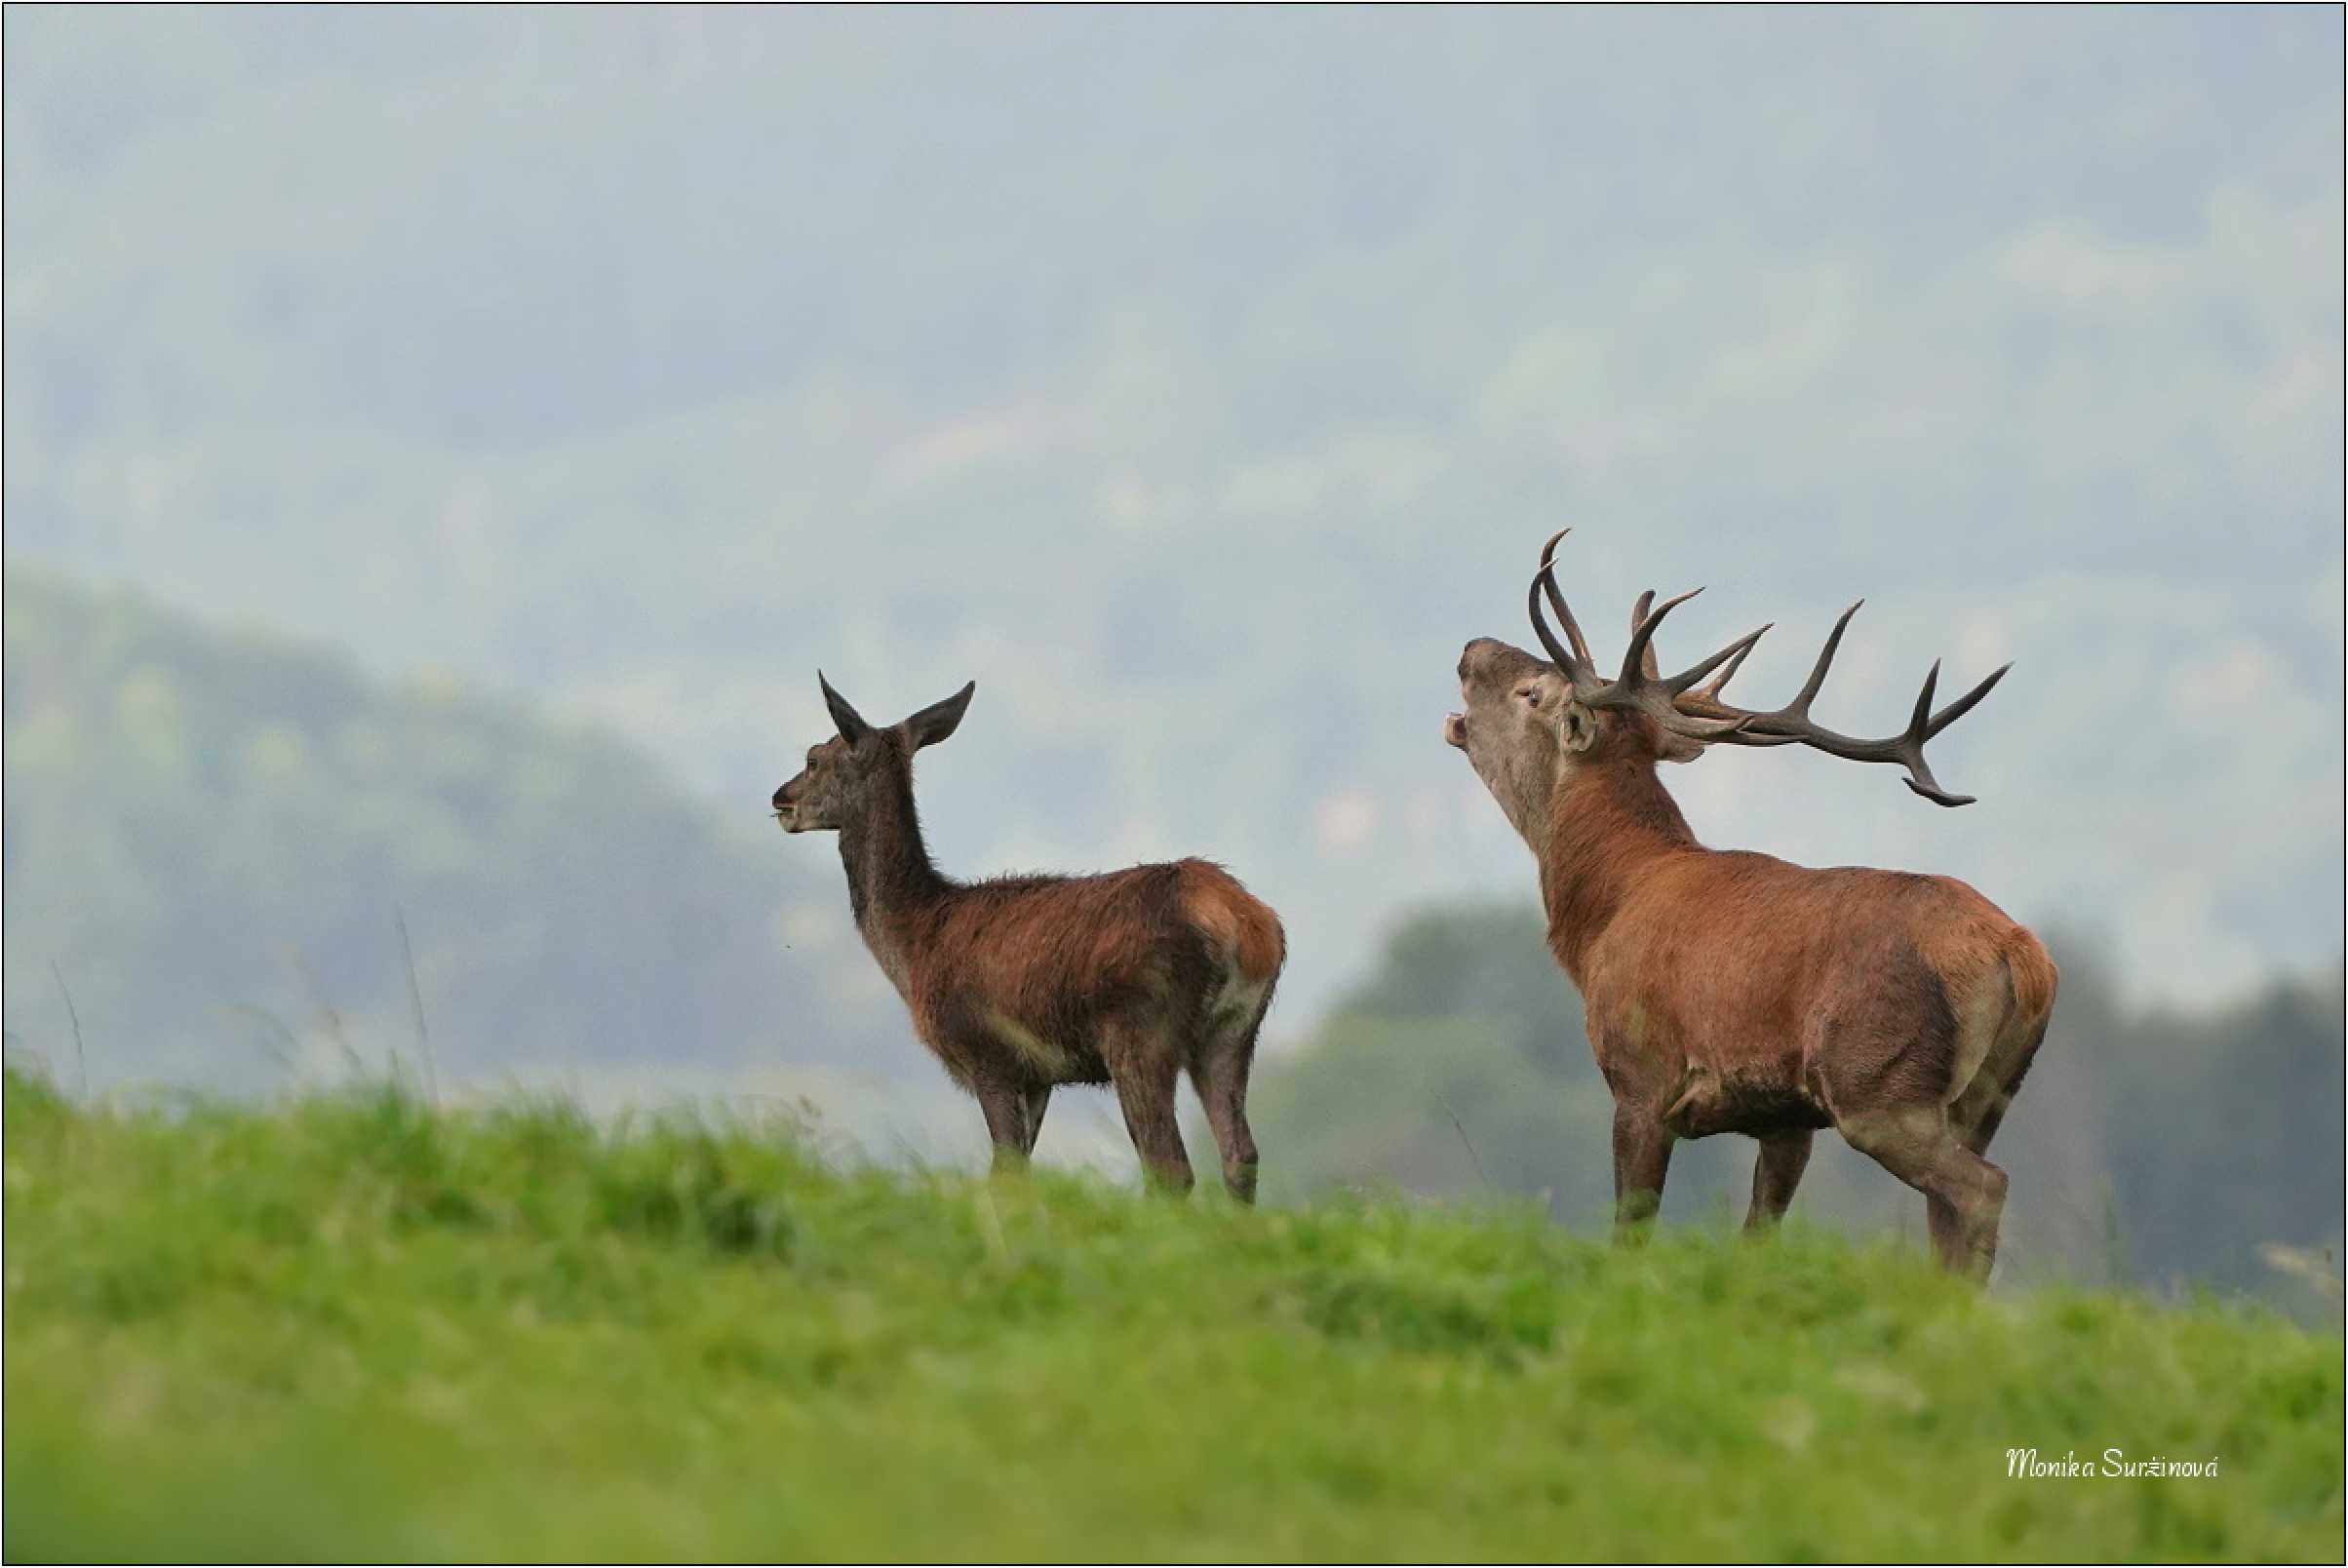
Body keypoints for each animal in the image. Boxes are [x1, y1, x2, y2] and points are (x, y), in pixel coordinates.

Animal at [769, 676, 1286, 1201]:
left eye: (814, 758)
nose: (780, 799)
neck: (916, 942)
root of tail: (1243, 926)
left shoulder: (989, 1052)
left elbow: (1006, 1174)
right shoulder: (1039, 1077)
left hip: (1140, 1030)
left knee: (1168, 1165)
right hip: (1233, 1032)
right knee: (1240, 1155)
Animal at [1436, 532, 2066, 1276]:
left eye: (1532, 693)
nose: (1470, 649)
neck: (1601, 919)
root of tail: (2023, 957)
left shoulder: (1641, 1078)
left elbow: (1630, 1233)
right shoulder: (1787, 1118)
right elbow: (1757, 1237)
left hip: (1879, 1081)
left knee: (1982, 1188)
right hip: (1983, 1097)